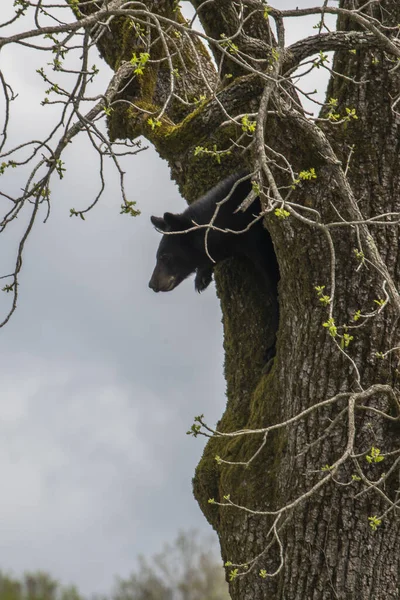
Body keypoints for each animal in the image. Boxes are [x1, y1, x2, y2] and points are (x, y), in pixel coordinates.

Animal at [149, 171, 278, 296]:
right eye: (157, 256)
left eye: (165, 257)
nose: (151, 284)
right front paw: (201, 277)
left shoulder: (254, 235)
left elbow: (267, 263)